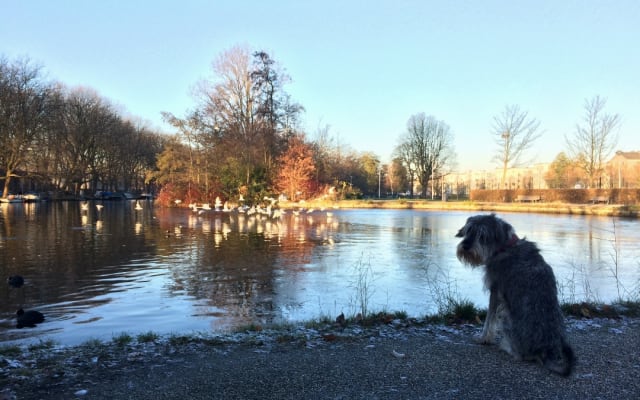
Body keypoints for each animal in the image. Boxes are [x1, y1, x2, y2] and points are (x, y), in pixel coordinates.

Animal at [456, 214, 576, 376]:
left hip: (506, 318)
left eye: (483, 235)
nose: (466, 246)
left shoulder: (495, 291)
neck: (506, 246)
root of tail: (544, 350)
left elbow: (489, 319)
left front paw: (483, 339)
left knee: (520, 355)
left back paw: (506, 347)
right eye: (468, 231)